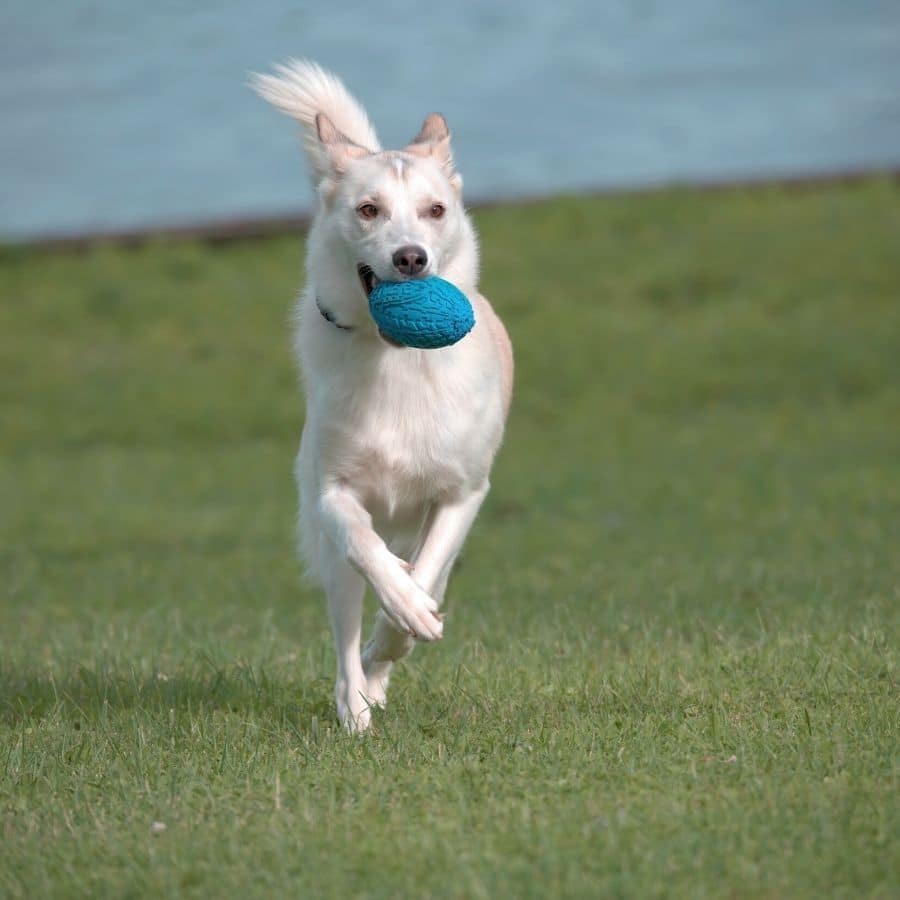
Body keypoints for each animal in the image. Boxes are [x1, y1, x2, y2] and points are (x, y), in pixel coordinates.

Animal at [250, 59, 512, 728]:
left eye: (435, 210)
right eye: (368, 210)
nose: (411, 258)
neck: (397, 360)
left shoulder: (463, 494)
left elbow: (424, 584)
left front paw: (408, 620)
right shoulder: (332, 492)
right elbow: (364, 548)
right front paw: (397, 597)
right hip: (332, 562)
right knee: (346, 624)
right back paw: (355, 707)